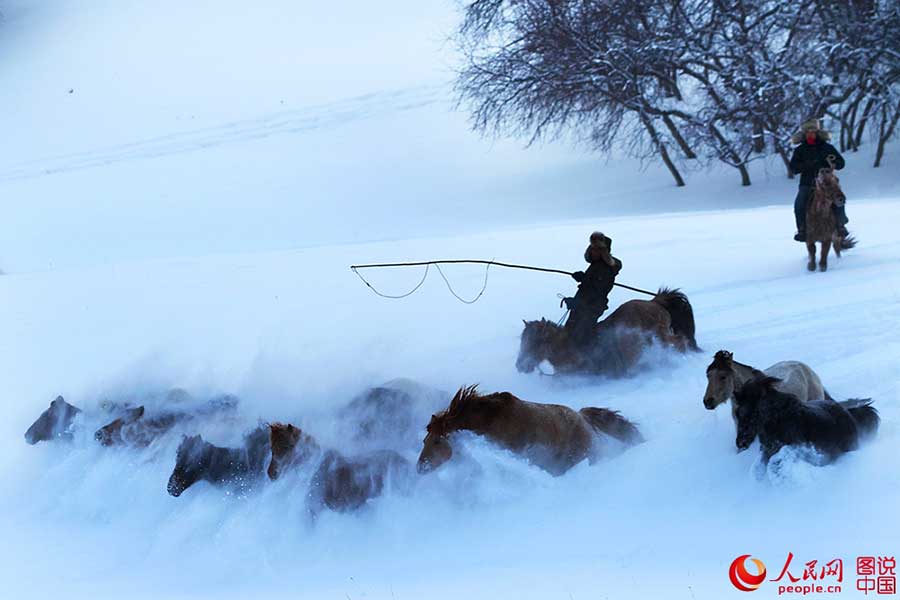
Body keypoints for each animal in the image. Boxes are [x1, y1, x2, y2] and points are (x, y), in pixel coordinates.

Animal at [516, 286, 700, 376]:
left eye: (534, 343)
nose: (519, 366)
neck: (568, 347)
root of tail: (655, 301)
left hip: (660, 335)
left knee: (679, 342)